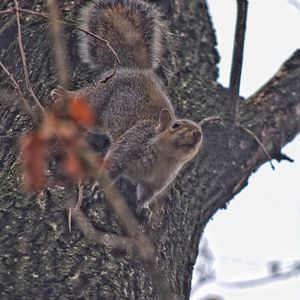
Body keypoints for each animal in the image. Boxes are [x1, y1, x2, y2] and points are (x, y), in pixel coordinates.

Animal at [51, 0, 203, 212]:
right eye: (176, 125)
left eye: (201, 133)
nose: (197, 134)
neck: (165, 157)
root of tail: (131, 69)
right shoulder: (130, 146)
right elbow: (111, 165)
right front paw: (100, 190)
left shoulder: (157, 182)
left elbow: (146, 194)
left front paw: (144, 208)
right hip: (96, 102)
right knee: (83, 99)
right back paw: (62, 96)